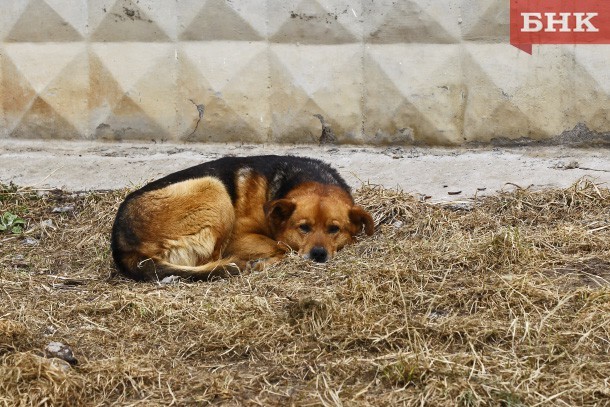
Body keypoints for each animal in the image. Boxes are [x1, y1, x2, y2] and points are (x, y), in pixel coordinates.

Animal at [111, 155, 372, 282]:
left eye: (334, 230)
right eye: (303, 228)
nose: (318, 255)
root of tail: (121, 246)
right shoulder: (238, 237)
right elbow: (283, 246)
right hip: (213, 188)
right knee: (214, 262)